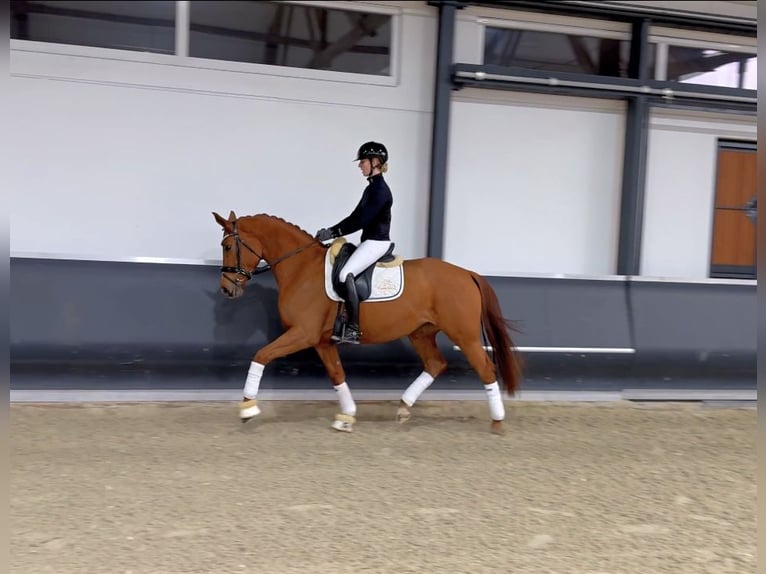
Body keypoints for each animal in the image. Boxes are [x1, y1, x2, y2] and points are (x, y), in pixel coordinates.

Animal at [213, 213, 524, 436]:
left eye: (228, 246)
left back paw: (497, 422)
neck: (301, 268)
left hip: (464, 335)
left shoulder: (303, 334)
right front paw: (346, 416)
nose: (227, 290)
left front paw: (247, 408)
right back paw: (403, 408)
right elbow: (337, 375)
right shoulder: (321, 341)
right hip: (421, 333)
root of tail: (467, 273)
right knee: (436, 364)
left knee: (486, 369)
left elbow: (261, 355)